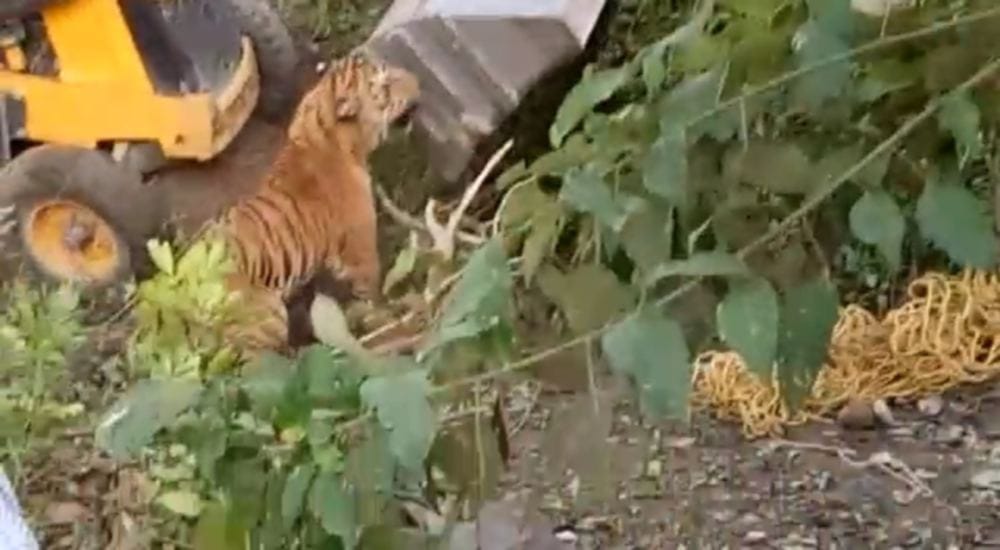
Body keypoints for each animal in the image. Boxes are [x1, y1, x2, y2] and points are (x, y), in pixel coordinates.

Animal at [204, 49, 421, 357]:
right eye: (386, 84)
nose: (418, 82)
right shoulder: (360, 249)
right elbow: (374, 290)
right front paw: (385, 315)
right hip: (265, 322)